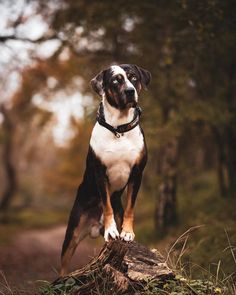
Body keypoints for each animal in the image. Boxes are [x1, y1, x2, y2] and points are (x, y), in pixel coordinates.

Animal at [60, 63, 151, 276]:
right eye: (116, 81)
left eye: (134, 78)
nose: (130, 91)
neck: (119, 128)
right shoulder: (100, 173)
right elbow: (107, 204)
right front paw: (111, 230)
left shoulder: (137, 174)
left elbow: (130, 207)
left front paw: (127, 232)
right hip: (73, 232)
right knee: (63, 266)